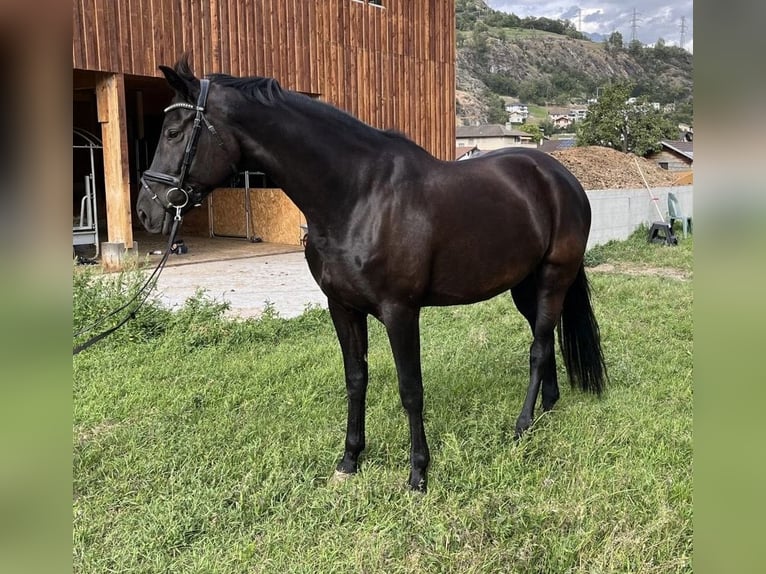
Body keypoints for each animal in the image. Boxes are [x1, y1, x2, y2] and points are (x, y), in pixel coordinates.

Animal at [137, 56, 607, 492]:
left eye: (174, 133)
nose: (146, 210)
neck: (357, 196)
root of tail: (561, 176)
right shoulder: (343, 308)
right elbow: (356, 380)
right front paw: (350, 460)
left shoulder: (401, 312)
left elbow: (410, 389)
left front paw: (418, 472)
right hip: (525, 286)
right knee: (545, 339)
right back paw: (547, 407)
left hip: (554, 276)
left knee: (538, 347)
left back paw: (523, 425)